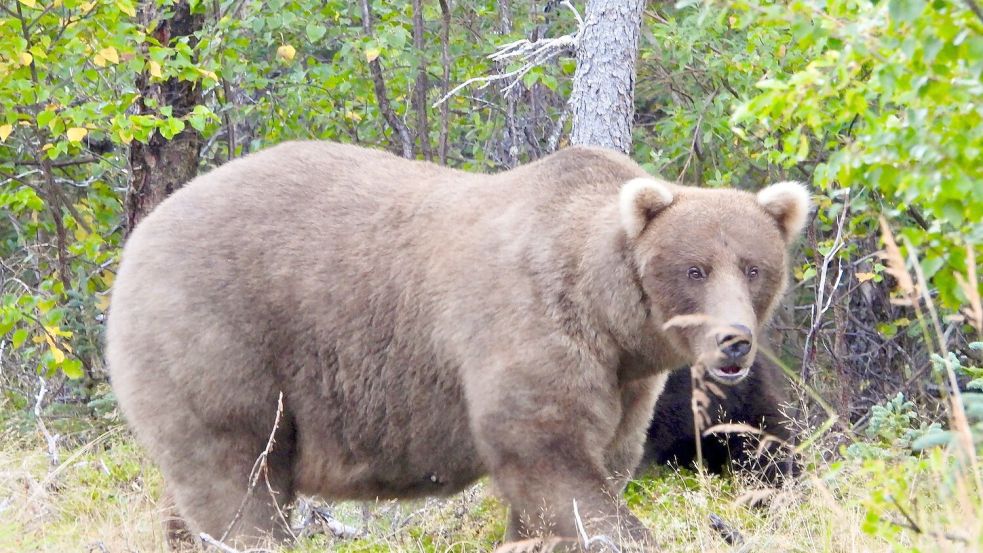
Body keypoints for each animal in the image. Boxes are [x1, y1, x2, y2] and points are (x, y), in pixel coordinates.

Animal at [107, 142, 812, 548]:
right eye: (694, 269)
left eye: (754, 267)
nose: (733, 342)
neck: (608, 316)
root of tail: (140, 233)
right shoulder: (527, 324)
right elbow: (548, 454)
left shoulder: (626, 381)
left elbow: (602, 459)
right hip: (223, 339)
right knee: (239, 480)